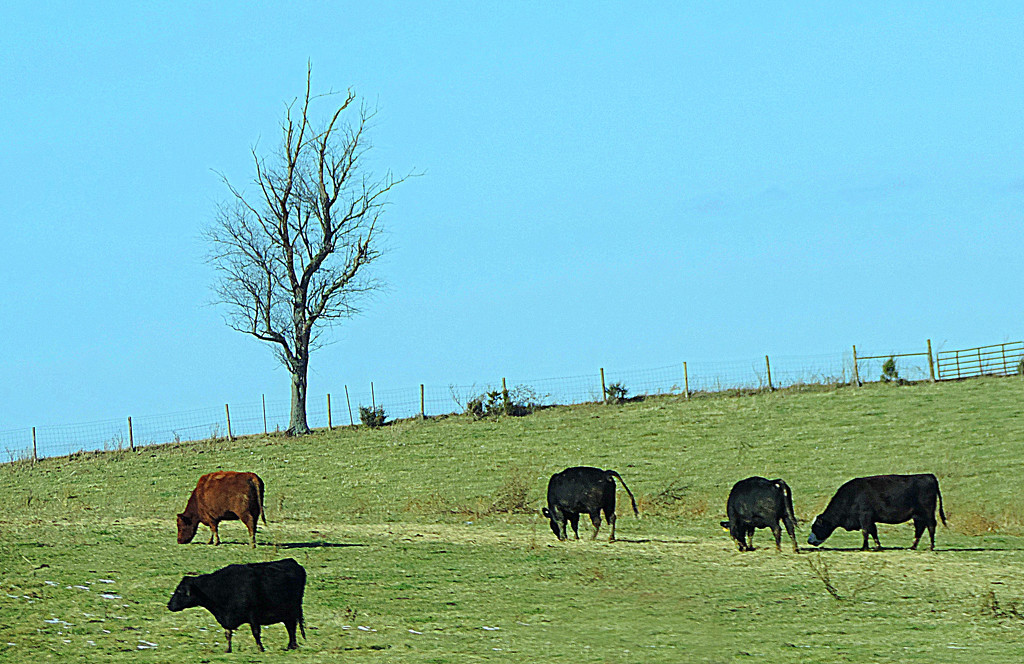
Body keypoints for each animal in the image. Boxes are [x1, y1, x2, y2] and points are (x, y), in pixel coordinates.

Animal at [165, 553, 303, 651]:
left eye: (179, 591)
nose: (169, 605)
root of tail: (292, 562)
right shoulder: (226, 618)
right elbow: (228, 634)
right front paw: (228, 649)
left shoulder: (253, 614)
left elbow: (256, 632)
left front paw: (260, 649)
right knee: (290, 626)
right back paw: (291, 646)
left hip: (293, 610)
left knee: (291, 626)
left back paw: (292, 645)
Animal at [806, 475, 942, 553]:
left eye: (816, 527)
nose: (809, 541)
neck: (852, 496)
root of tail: (929, 476)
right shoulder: (870, 519)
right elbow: (873, 531)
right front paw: (877, 546)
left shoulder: (865, 516)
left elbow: (865, 532)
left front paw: (864, 547)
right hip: (917, 516)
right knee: (920, 528)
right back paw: (913, 546)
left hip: (928, 512)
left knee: (931, 526)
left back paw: (931, 547)